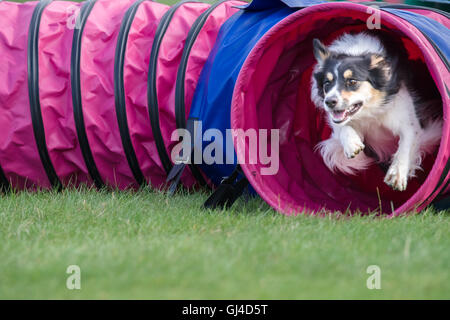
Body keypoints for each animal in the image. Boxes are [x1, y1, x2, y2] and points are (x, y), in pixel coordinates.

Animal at [312, 32, 442, 191]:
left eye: (352, 81)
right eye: (327, 83)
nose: (329, 102)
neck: (369, 111)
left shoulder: (407, 119)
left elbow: (406, 145)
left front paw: (397, 174)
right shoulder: (338, 120)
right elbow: (342, 127)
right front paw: (352, 145)